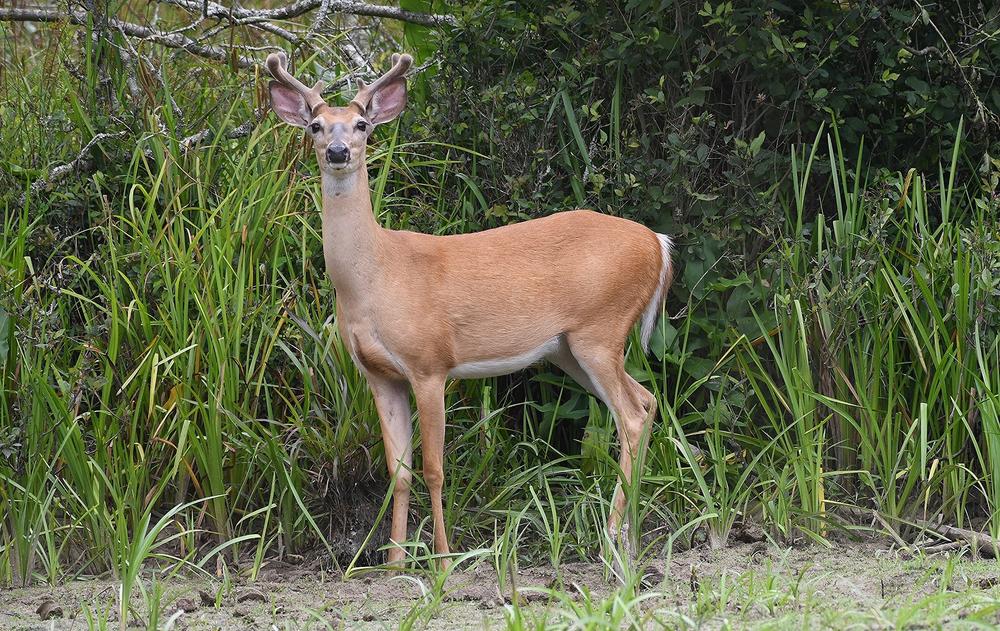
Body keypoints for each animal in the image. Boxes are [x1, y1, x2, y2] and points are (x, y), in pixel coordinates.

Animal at [264, 51, 672, 572]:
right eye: (315, 126)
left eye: (361, 125)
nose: (338, 152)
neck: (376, 275)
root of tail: (658, 244)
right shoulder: (378, 374)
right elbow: (398, 470)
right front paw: (394, 564)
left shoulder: (429, 363)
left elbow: (434, 468)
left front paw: (442, 560)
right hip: (569, 348)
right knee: (646, 400)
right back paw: (631, 539)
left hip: (600, 329)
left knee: (632, 415)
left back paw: (610, 539)